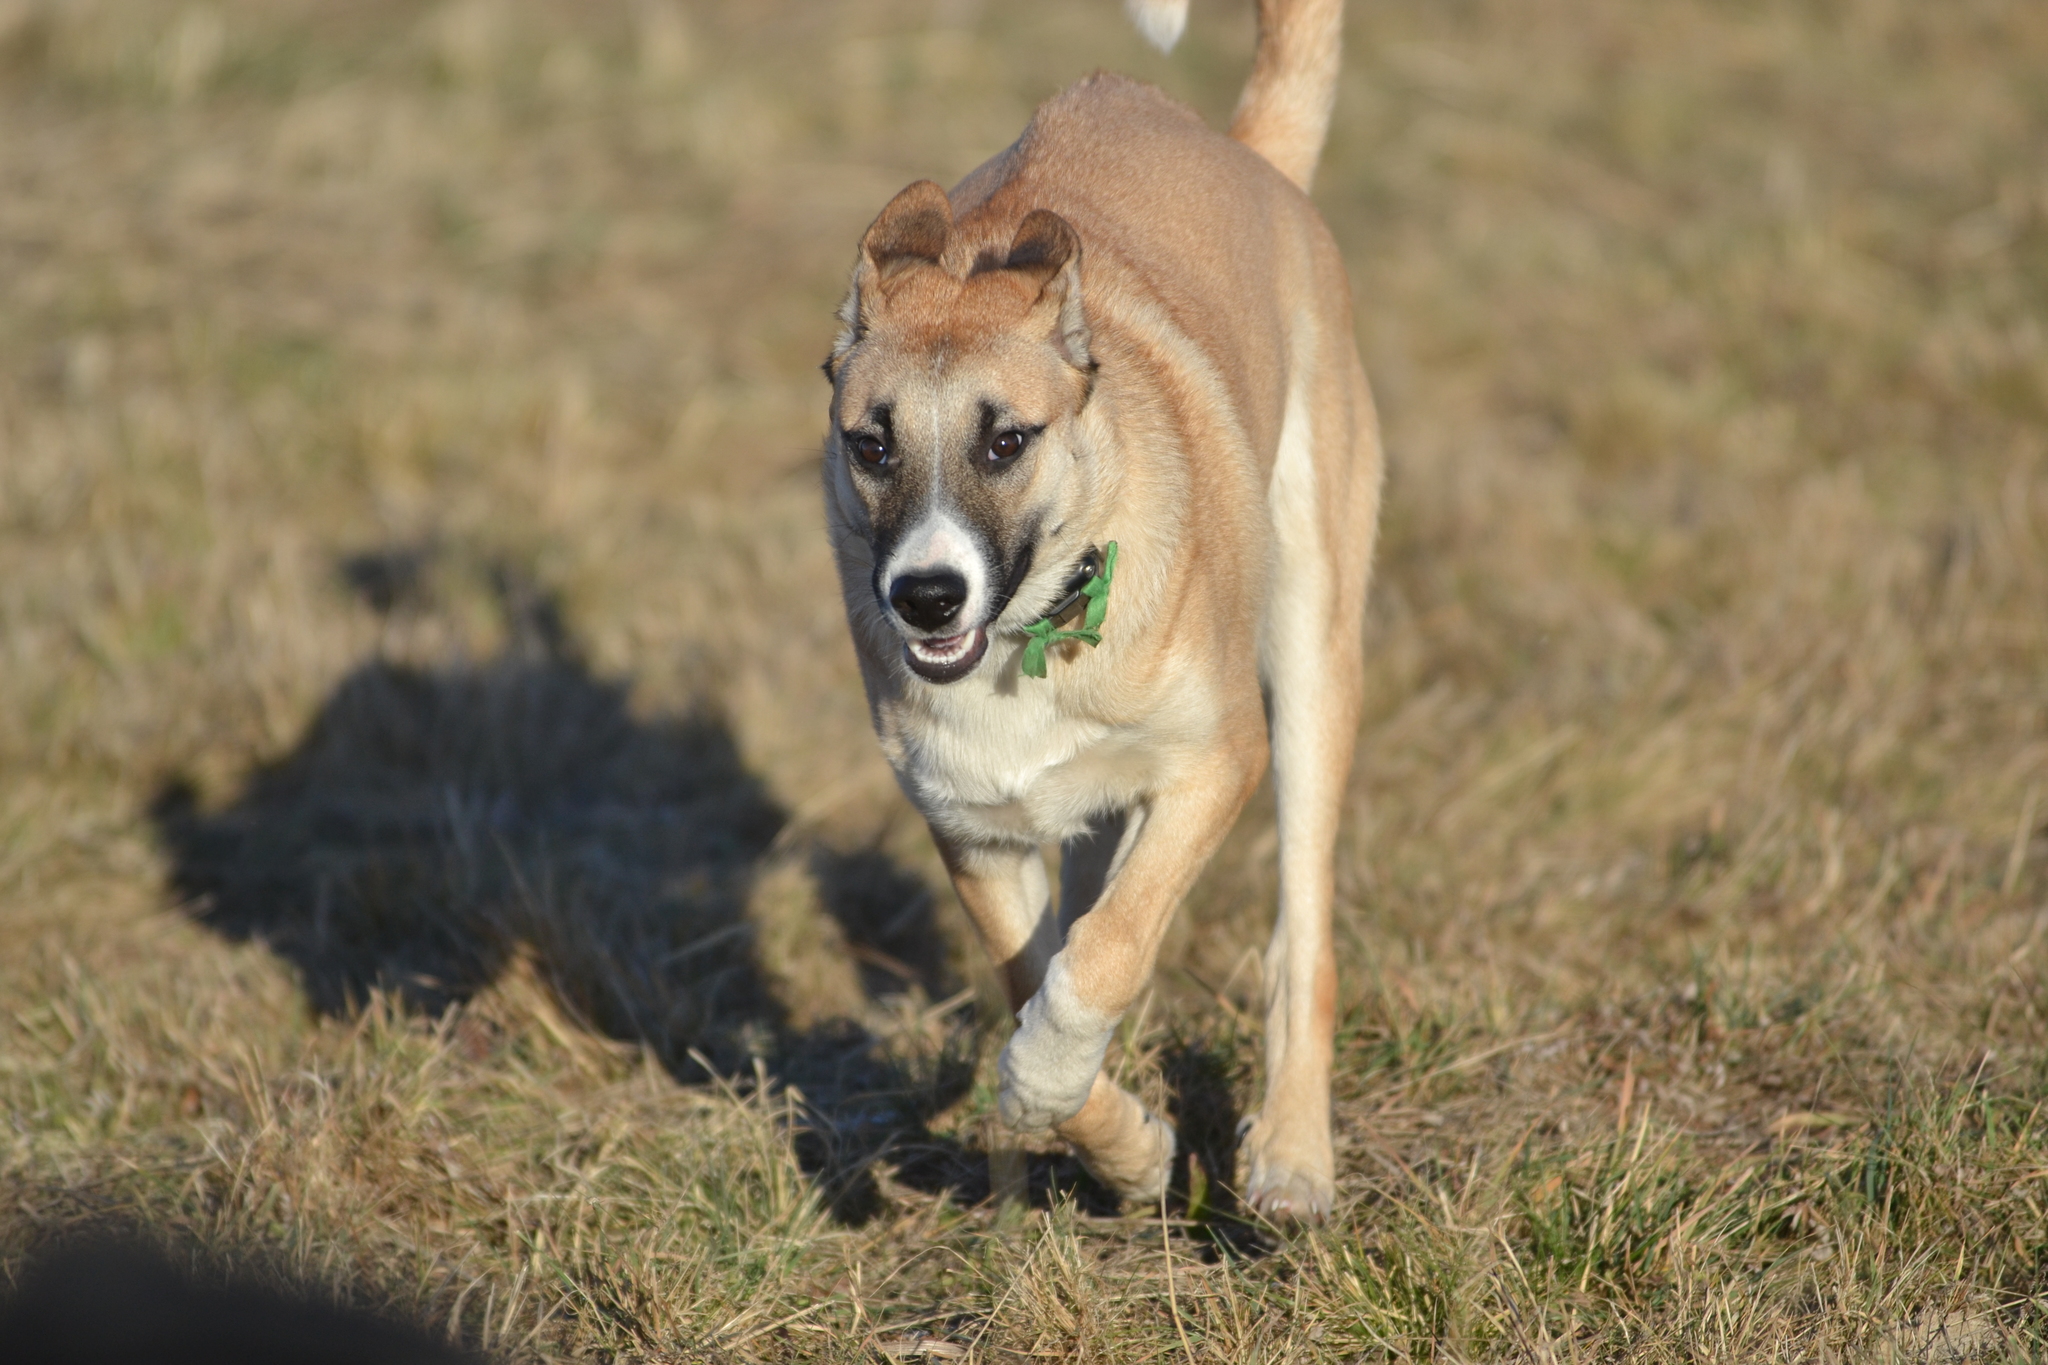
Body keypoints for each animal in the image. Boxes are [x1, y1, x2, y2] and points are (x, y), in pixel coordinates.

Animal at [815, 0, 1376, 1219]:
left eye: (1006, 441)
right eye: (870, 444)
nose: (925, 593)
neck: (1036, 636)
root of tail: (1251, 160)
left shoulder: (1218, 761)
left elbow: (1102, 956)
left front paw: (1036, 1078)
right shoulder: (973, 826)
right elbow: (1038, 966)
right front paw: (1119, 1145)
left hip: (1313, 646)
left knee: (1300, 938)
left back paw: (1293, 1155)